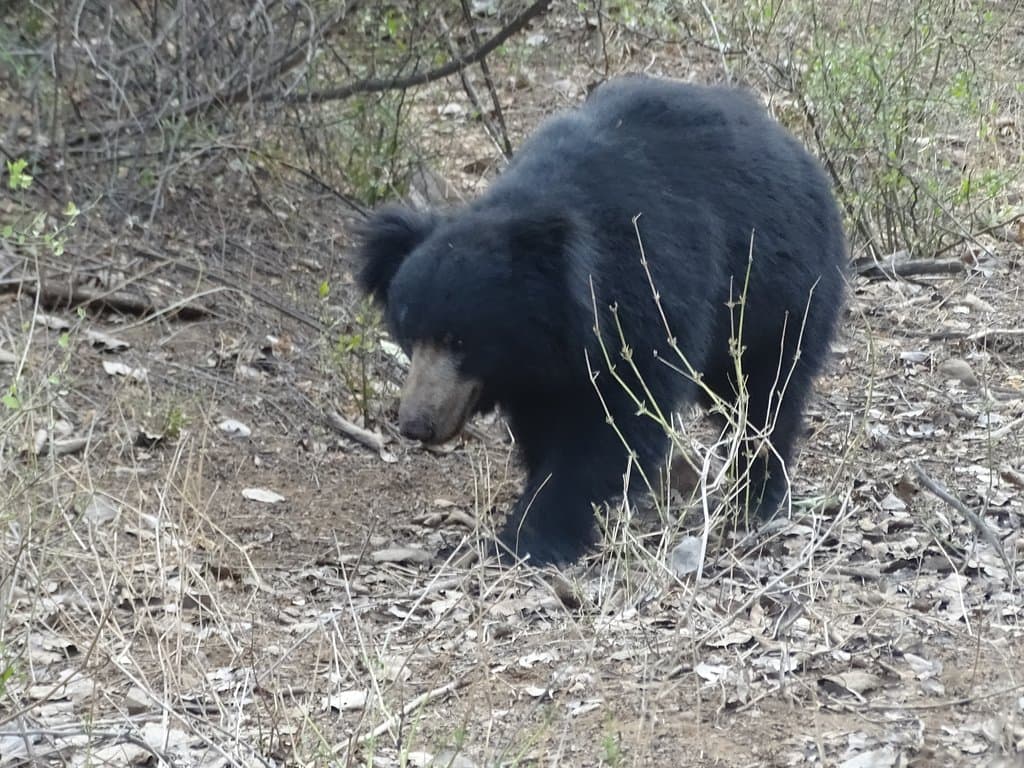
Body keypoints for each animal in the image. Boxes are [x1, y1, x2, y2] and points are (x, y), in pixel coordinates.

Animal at [356, 75, 846, 566]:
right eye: (409, 337)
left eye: (459, 340)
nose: (415, 424)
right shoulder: (539, 369)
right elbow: (545, 427)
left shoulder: (647, 291)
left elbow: (614, 424)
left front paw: (526, 538)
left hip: (779, 293)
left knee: (767, 396)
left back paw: (756, 498)